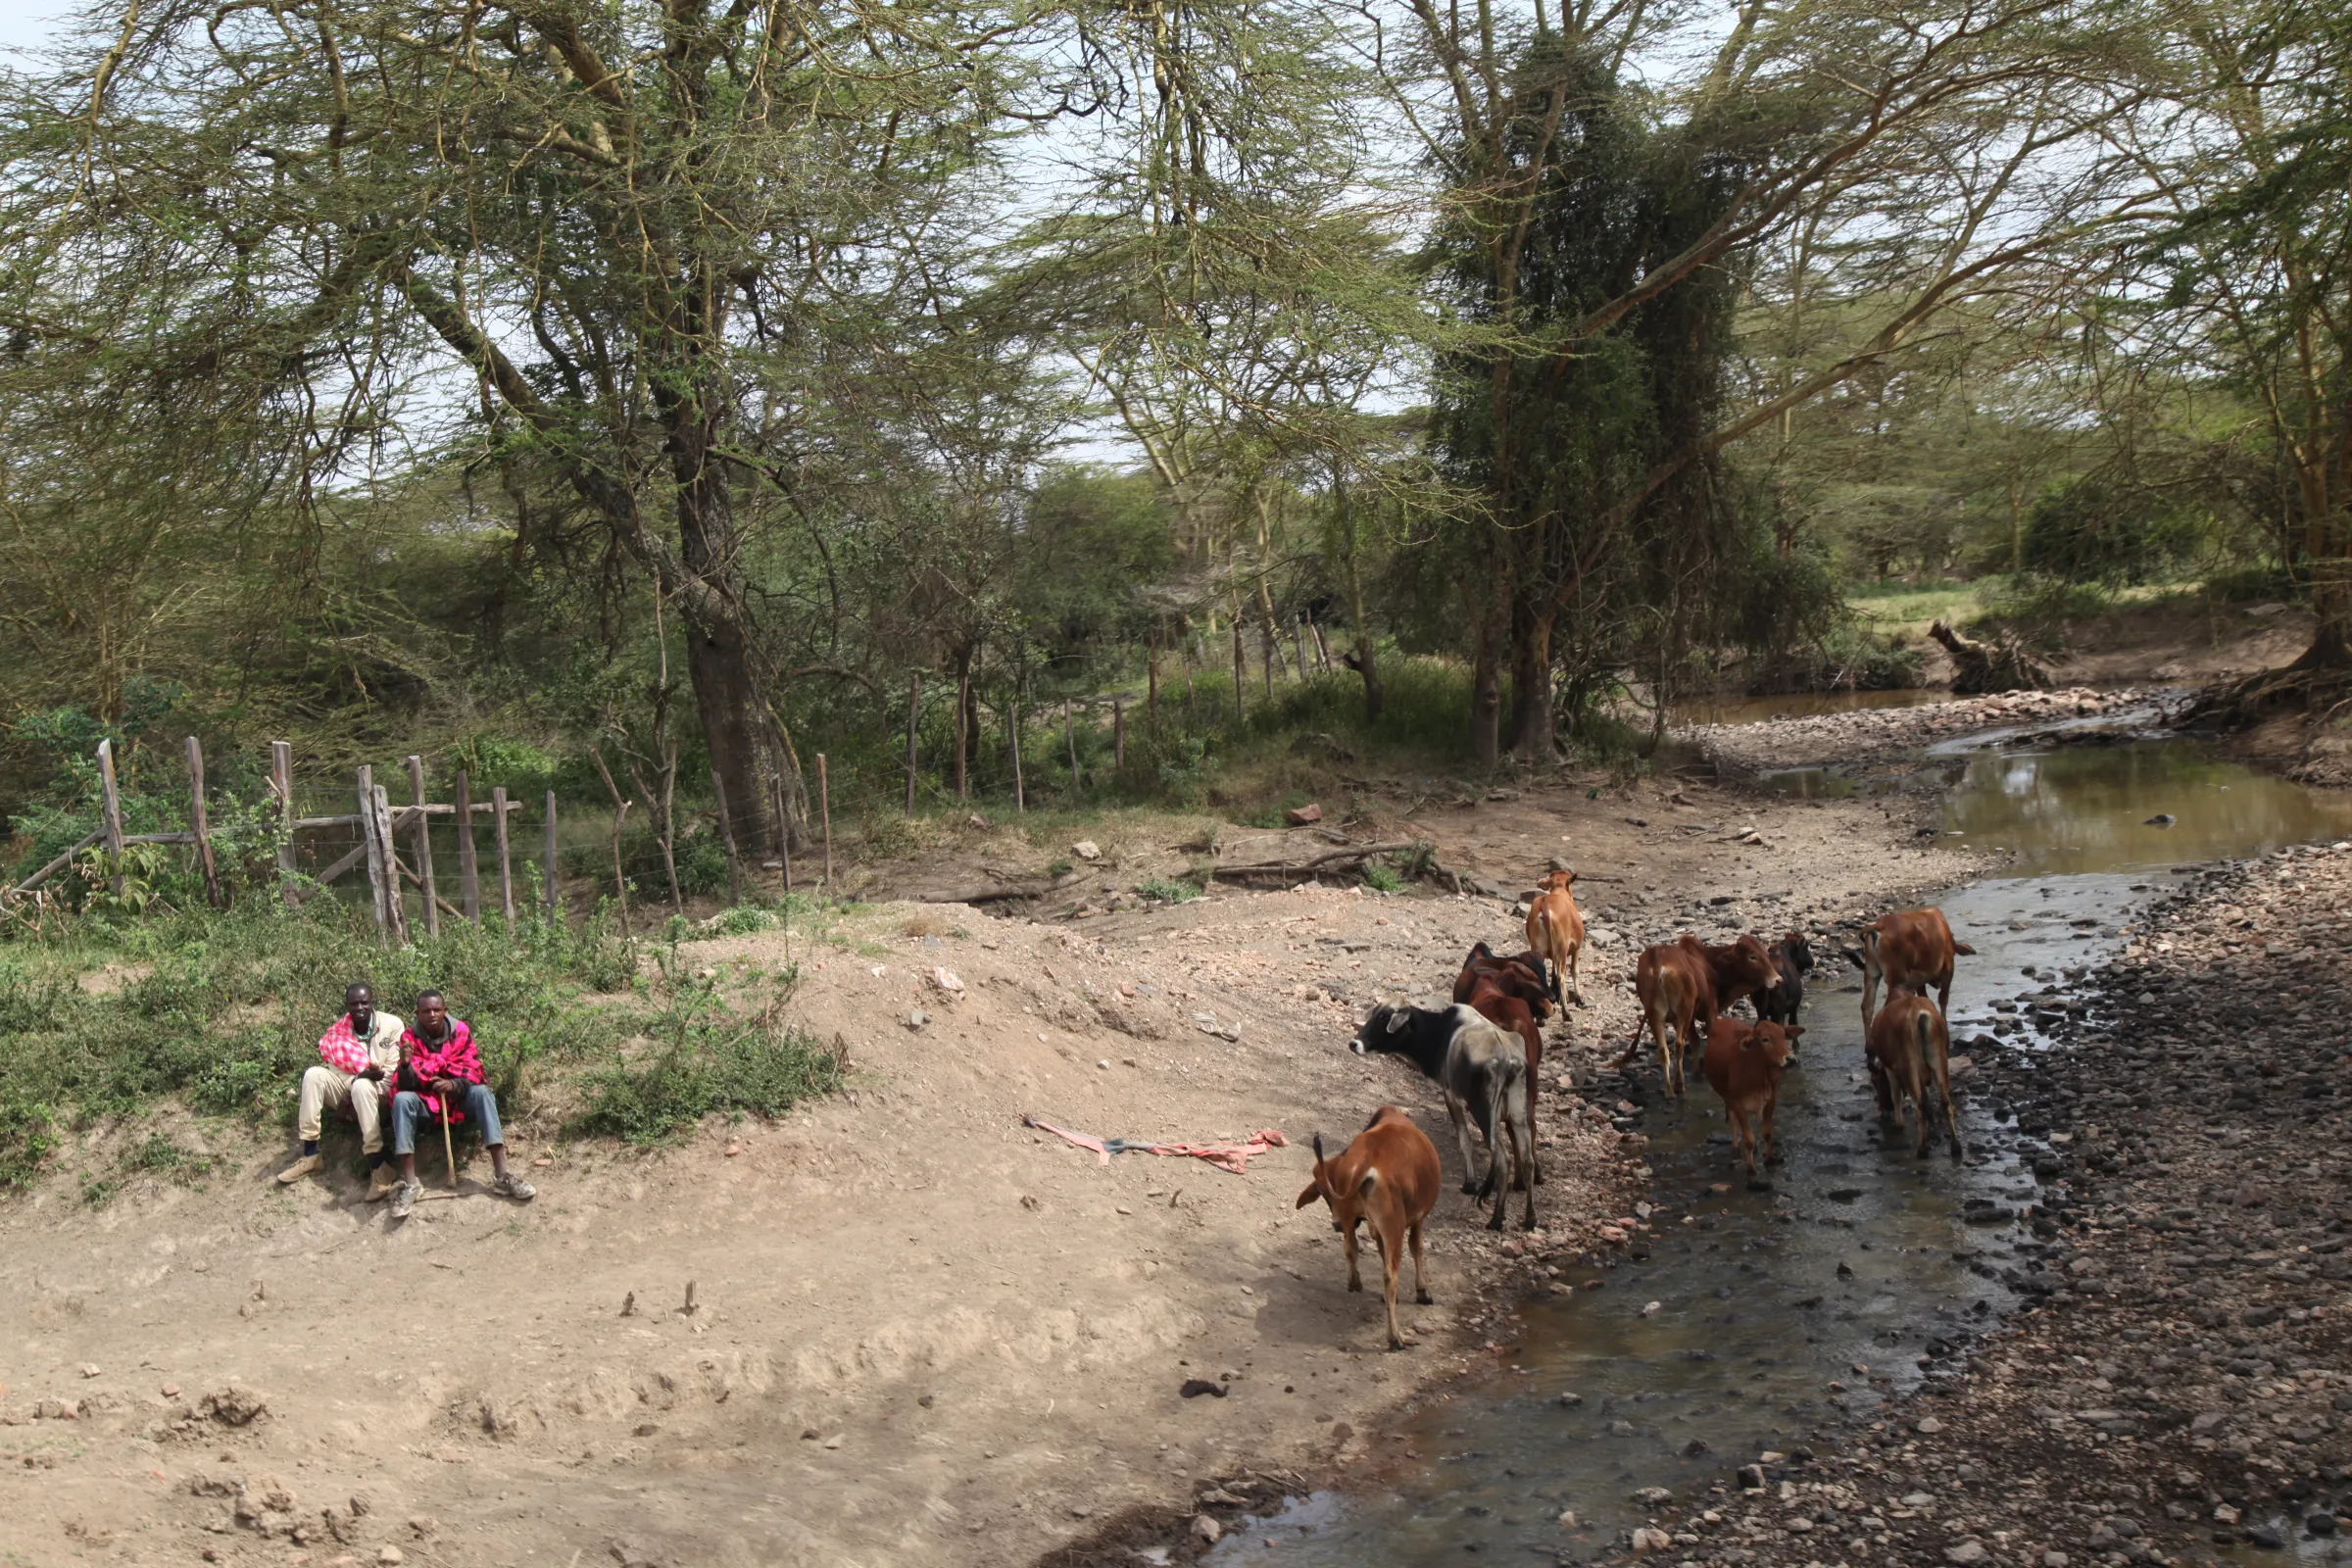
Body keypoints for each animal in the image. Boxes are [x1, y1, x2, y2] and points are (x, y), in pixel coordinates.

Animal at [1298, 1104, 1439, 1353]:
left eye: (1324, 1194)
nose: (1335, 1224)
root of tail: (1366, 1161)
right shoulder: (1417, 1218)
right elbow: (1417, 1248)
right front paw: (1422, 1291)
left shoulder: (1372, 1227)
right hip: (1394, 1226)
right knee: (1390, 1275)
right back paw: (1395, 1337)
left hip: (1357, 1220)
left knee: (1350, 1248)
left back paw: (1355, 1282)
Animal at [1524, 869, 1580, 1005]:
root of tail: (1545, 904)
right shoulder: (1577, 947)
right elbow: (1574, 970)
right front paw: (1579, 997)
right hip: (1563, 948)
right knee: (1562, 975)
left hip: (1538, 947)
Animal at [1618, 940, 1778, 1100]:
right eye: (1752, 957)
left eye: (1766, 953)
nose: (1778, 979)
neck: (1709, 964)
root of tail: (1657, 960)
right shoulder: (1710, 1011)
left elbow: (1695, 1041)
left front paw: (1697, 1071)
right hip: (1684, 1011)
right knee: (1679, 1045)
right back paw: (1679, 1085)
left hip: (1656, 1016)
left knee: (1663, 1050)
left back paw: (1670, 1090)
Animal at [1702, 1020, 1806, 1175]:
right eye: (1765, 1039)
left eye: (1784, 1036)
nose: (1791, 1059)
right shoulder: (1738, 1103)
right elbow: (1748, 1139)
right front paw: (1751, 1169)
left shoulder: (1770, 1100)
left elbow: (1767, 1133)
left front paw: (1769, 1159)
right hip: (1727, 1097)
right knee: (1733, 1120)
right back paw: (1735, 1149)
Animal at [1862, 987, 1956, 1161]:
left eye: (1875, 1081)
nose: (1883, 1109)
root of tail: (1919, 1013)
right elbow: (1927, 1098)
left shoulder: (1890, 1068)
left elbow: (1897, 1096)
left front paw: (1898, 1122)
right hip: (1940, 1061)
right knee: (1945, 1103)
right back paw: (1956, 1147)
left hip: (1908, 1066)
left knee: (1919, 1106)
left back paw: (1922, 1150)